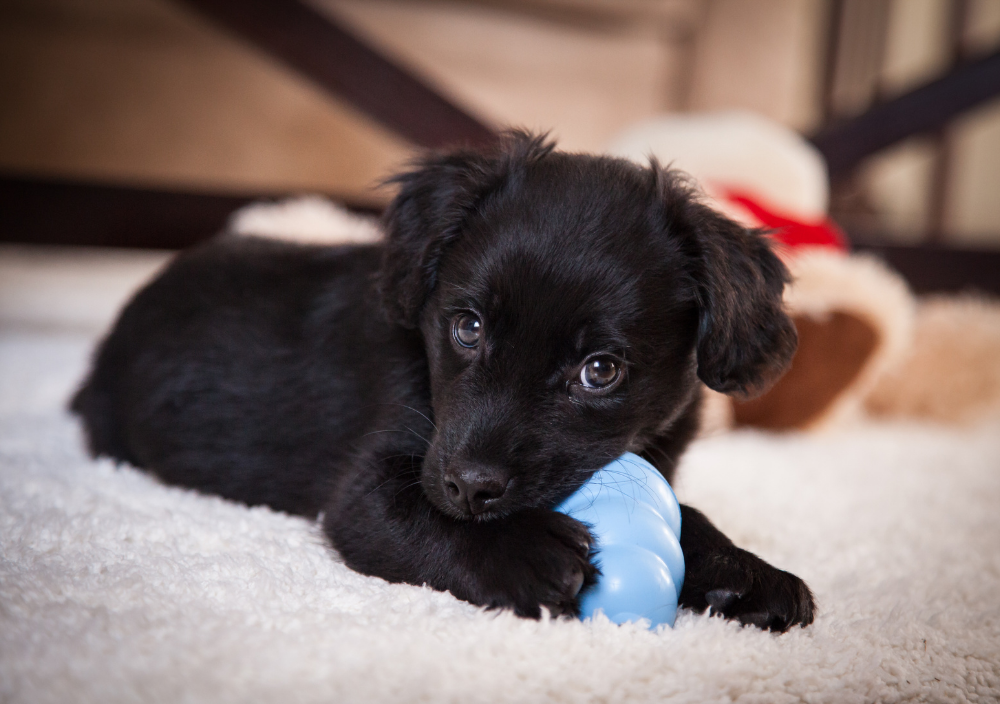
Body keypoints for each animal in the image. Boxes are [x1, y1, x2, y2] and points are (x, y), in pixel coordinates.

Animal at [76, 133, 812, 632]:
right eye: (468, 327)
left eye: (600, 371)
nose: (470, 488)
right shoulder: (365, 491)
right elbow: (413, 514)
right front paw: (524, 550)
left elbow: (689, 514)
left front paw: (746, 573)